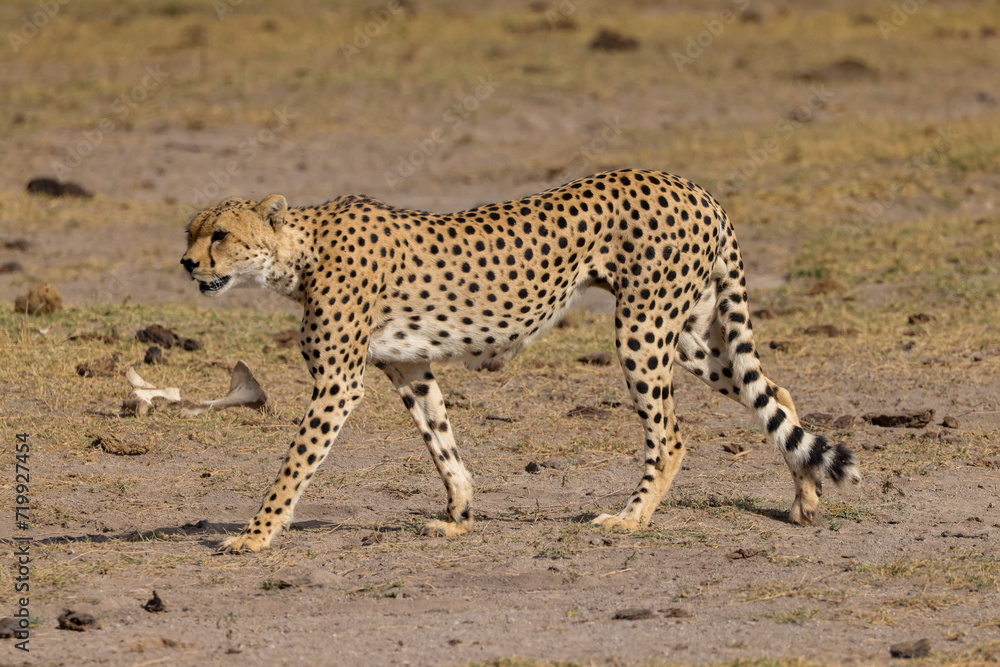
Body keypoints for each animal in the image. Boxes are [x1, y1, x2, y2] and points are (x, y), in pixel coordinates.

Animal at [180, 169, 860, 553]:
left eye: (220, 235)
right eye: (190, 231)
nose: (187, 264)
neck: (299, 249)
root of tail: (695, 189)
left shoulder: (338, 383)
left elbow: (293, 466)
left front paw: (256, 534)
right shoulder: (408, 367)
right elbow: (442, 443)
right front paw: (459, 516)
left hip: (642, 329)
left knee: (670, 436)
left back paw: (631, 519)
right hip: (686, 332)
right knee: (775, 396)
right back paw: (805, 498)